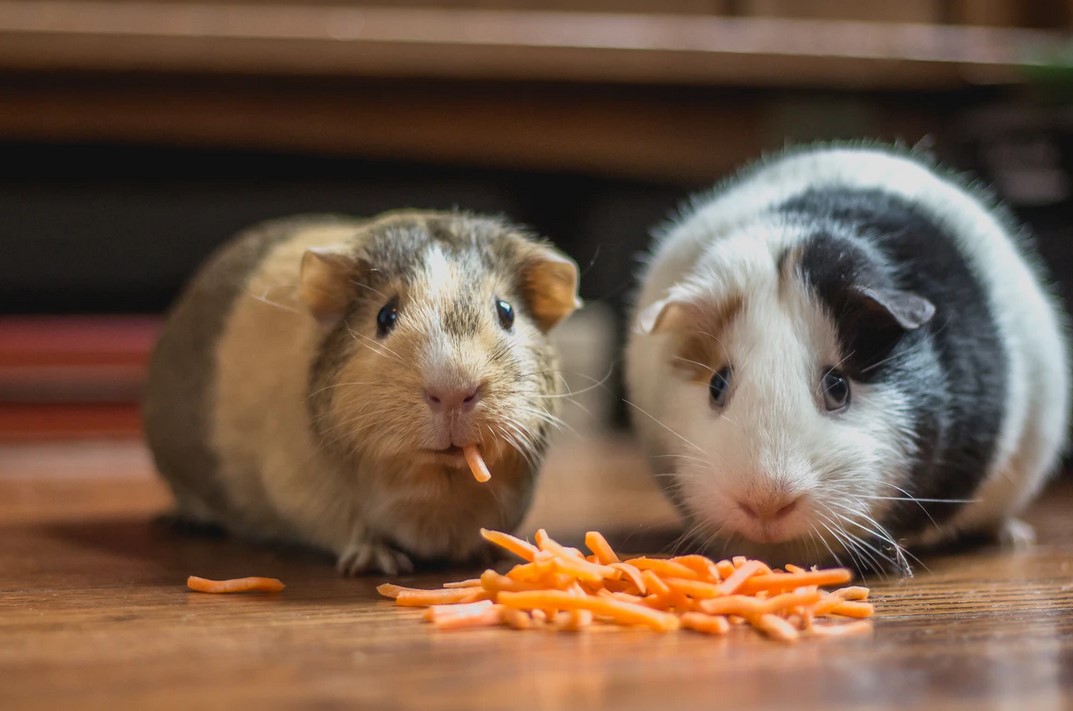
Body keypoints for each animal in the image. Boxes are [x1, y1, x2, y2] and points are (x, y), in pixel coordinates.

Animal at [143, 210, 580, 575]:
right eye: (385, 315)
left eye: (506, 312)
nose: (454, 391)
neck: (439, 487)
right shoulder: (308, 497)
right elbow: (355, 530)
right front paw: (380, 564)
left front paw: (488, 552)